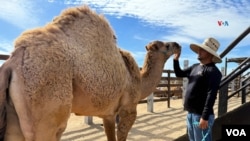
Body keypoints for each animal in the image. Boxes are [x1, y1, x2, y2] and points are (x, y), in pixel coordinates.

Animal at [0, 4, 180, 141]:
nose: (177, 44)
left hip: (15, 119)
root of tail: (12, 62)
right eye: (166, 46)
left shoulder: (108, 115)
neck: (139, 81)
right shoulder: (128, 109)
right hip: (45, 108)